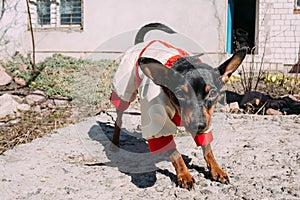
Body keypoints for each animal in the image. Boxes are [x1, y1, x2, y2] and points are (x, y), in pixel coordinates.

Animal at [109, 23, 246, 189]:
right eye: (179, 93)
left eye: (213, 93)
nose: (198, 125)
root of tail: (140, 43)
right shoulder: (159, 122)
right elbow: (175, 152)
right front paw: (184, 174)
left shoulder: (206, 121)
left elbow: (207, 148)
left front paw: (216, 169)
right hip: (125, 93)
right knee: (119, 117)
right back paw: (115, 142)